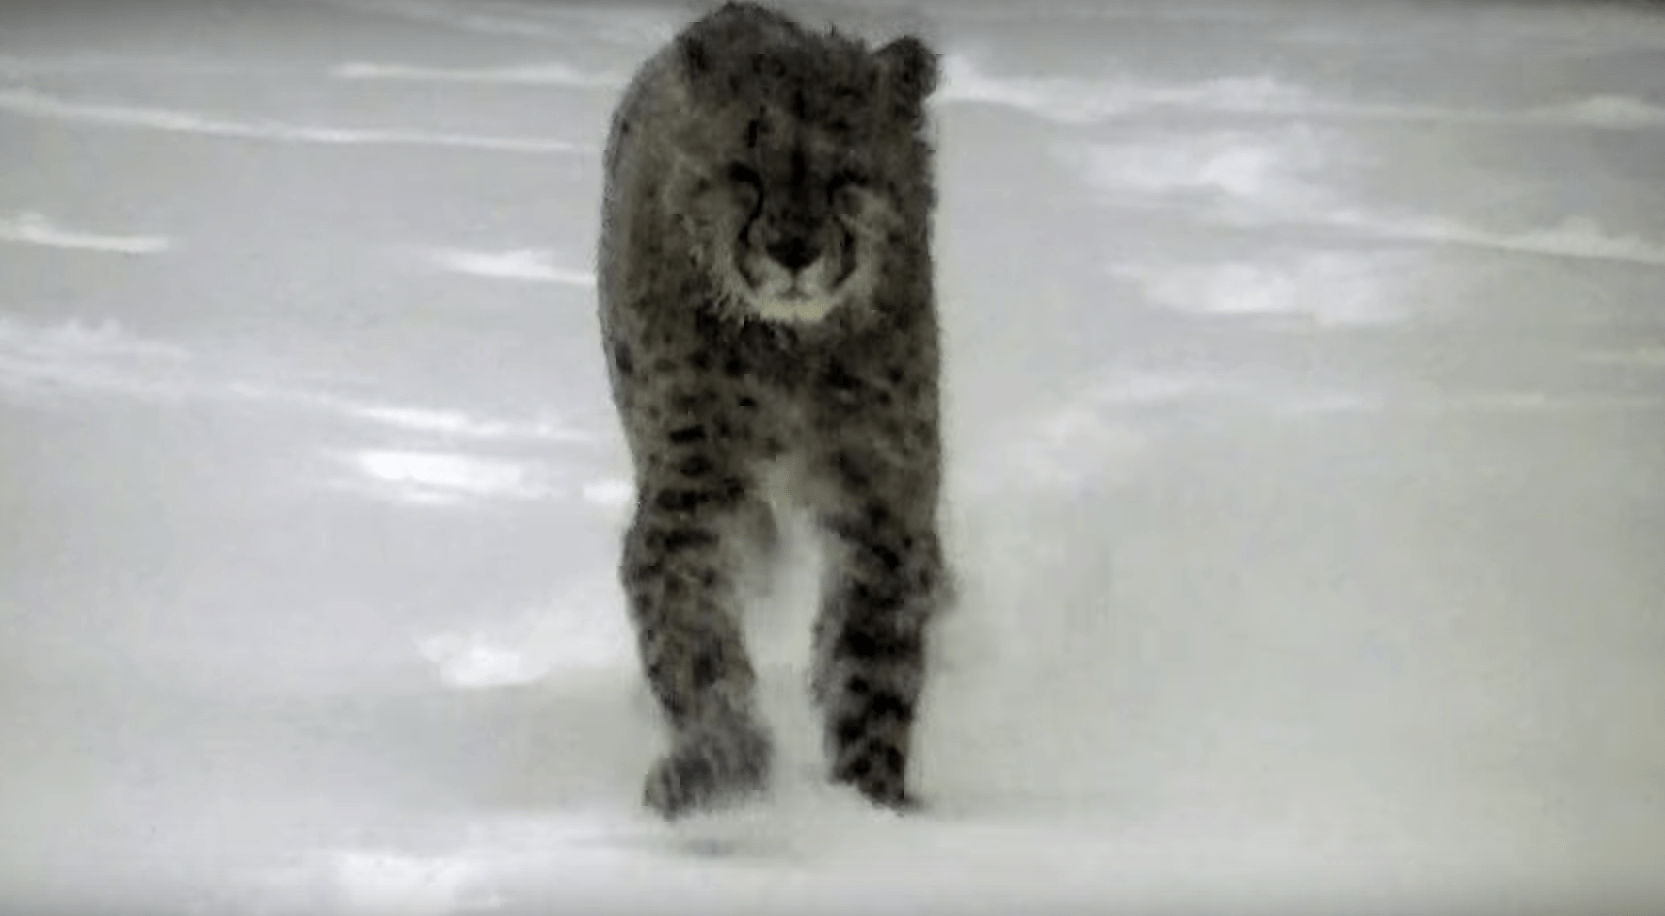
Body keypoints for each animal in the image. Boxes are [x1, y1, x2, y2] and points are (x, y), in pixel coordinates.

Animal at [599, 0, 945, 819]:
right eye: (743, 174)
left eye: (846, 175)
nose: (793, 251)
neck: (794, 346)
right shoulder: (691, 494)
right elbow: (693, 637)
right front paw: (716, 766)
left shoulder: (881, 500)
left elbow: (872, 660)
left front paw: (873, 805)